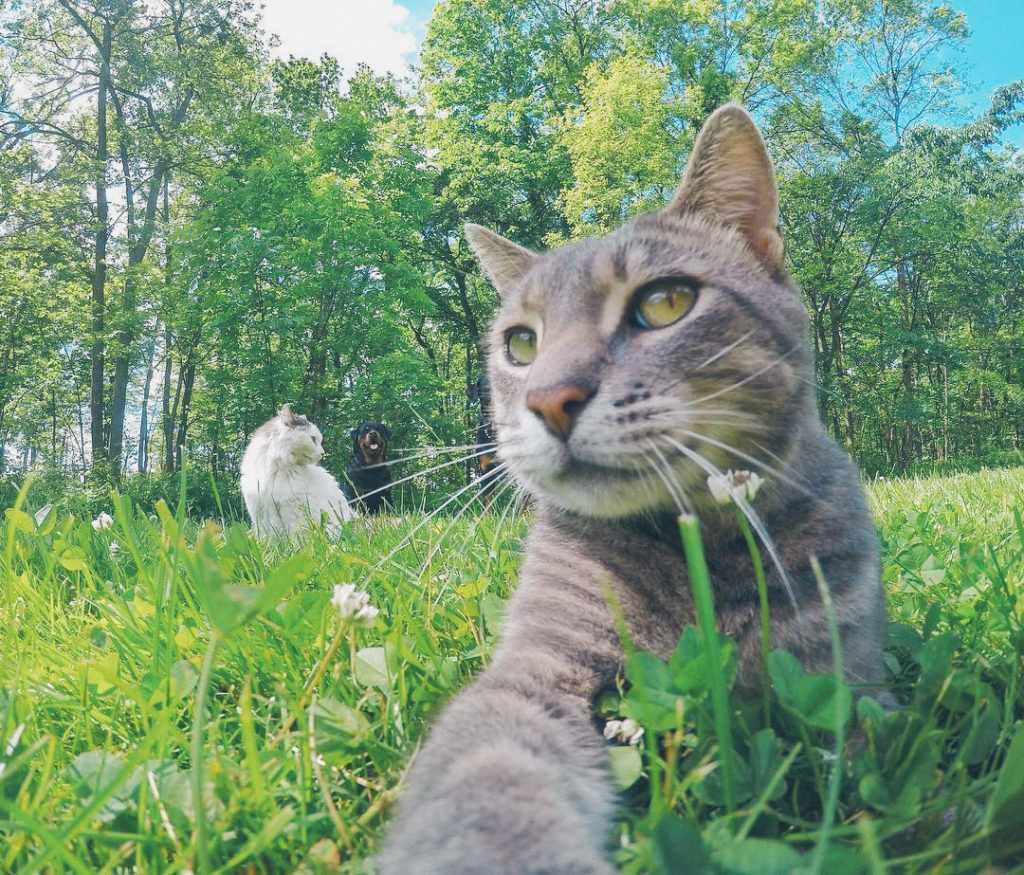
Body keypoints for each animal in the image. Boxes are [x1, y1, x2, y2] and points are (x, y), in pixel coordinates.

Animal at [240, 404, 355, 539]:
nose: (322, 453)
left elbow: (294, 536)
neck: (274, 469)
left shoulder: (292, 510)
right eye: (313, 439)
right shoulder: (260, 511)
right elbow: (266, 538)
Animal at [379, 104, 888, 873]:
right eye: (520, 344)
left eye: (666, 302)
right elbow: (491, 774)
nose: (550, 399)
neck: (703, 546)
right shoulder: (538, 666)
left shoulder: (847, 670)